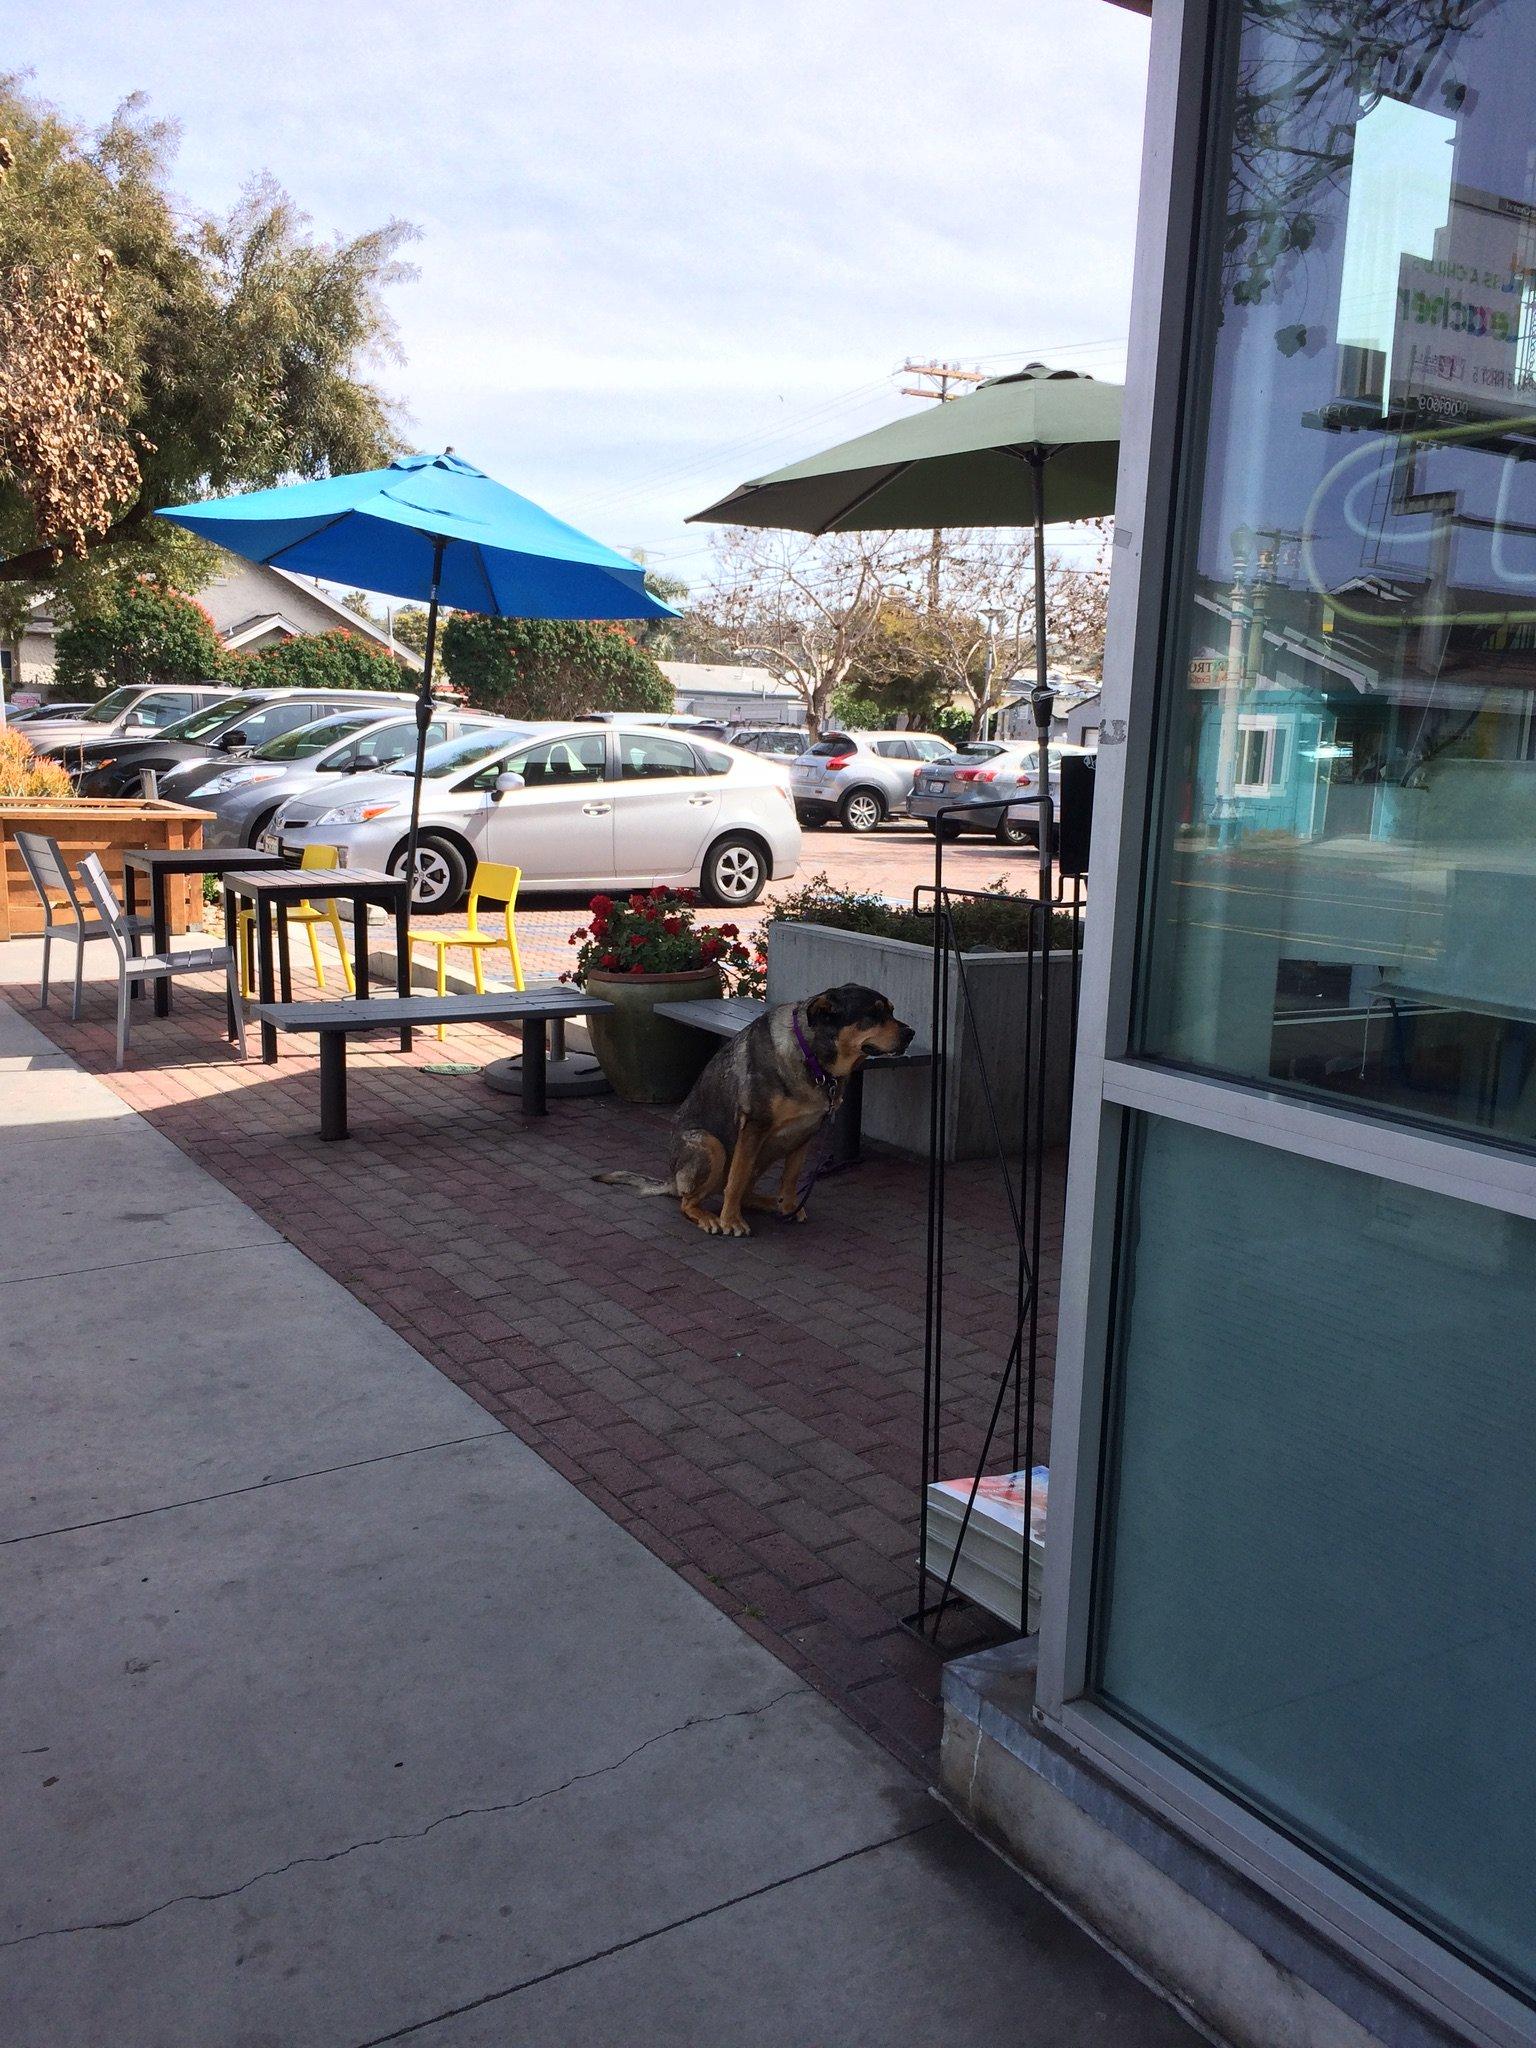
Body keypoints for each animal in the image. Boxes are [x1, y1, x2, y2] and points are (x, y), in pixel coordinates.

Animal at [598, 987, 913, 1236]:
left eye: (891, 1011)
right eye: (873, 1014)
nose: (911, 1033)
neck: (813, 1058)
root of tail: (673, 1181)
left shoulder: (806, 1132)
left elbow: (791, 1177)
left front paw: (789, 1206)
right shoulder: (753, 1126)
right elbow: (736, 1181)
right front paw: (730, 1220)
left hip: (766, 1152)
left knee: (745, 1192)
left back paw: (773, 1204)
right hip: (711, 1145)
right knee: (691, 1201)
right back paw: (709, 1216)